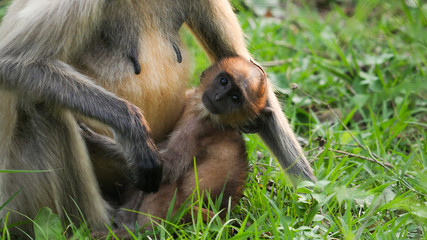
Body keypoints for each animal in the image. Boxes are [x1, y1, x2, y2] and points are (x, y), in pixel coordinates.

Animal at [82, 55, 270, 227]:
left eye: (235, 98)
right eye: (223, 81)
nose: (218, 97)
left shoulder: (195, 129)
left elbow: (166, 170)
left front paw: (95, 139)